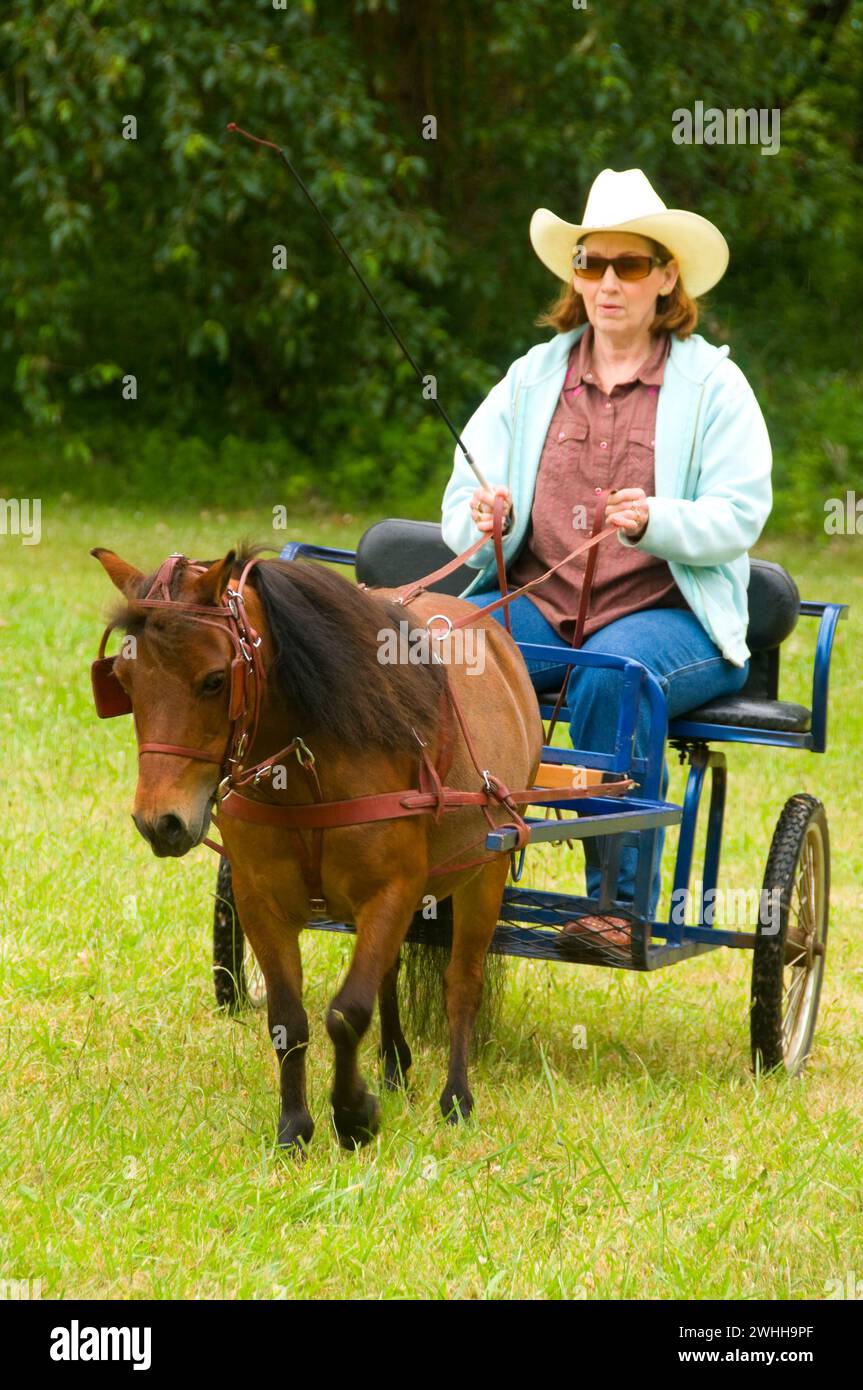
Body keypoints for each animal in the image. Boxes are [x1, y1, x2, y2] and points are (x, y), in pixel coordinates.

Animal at [92, 544, 539, 1150]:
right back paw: (396, 1066)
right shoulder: (261, 900)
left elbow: (346, 1012)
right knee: (391, 971)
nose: (159, 822)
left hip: (486, 867)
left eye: (214, 680)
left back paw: (456, 1098)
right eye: (123, 679)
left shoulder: (391, 890)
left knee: (461, 984)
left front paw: (352, 1115)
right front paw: (295, 1128)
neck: (310, 763)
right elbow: (289, 1019)